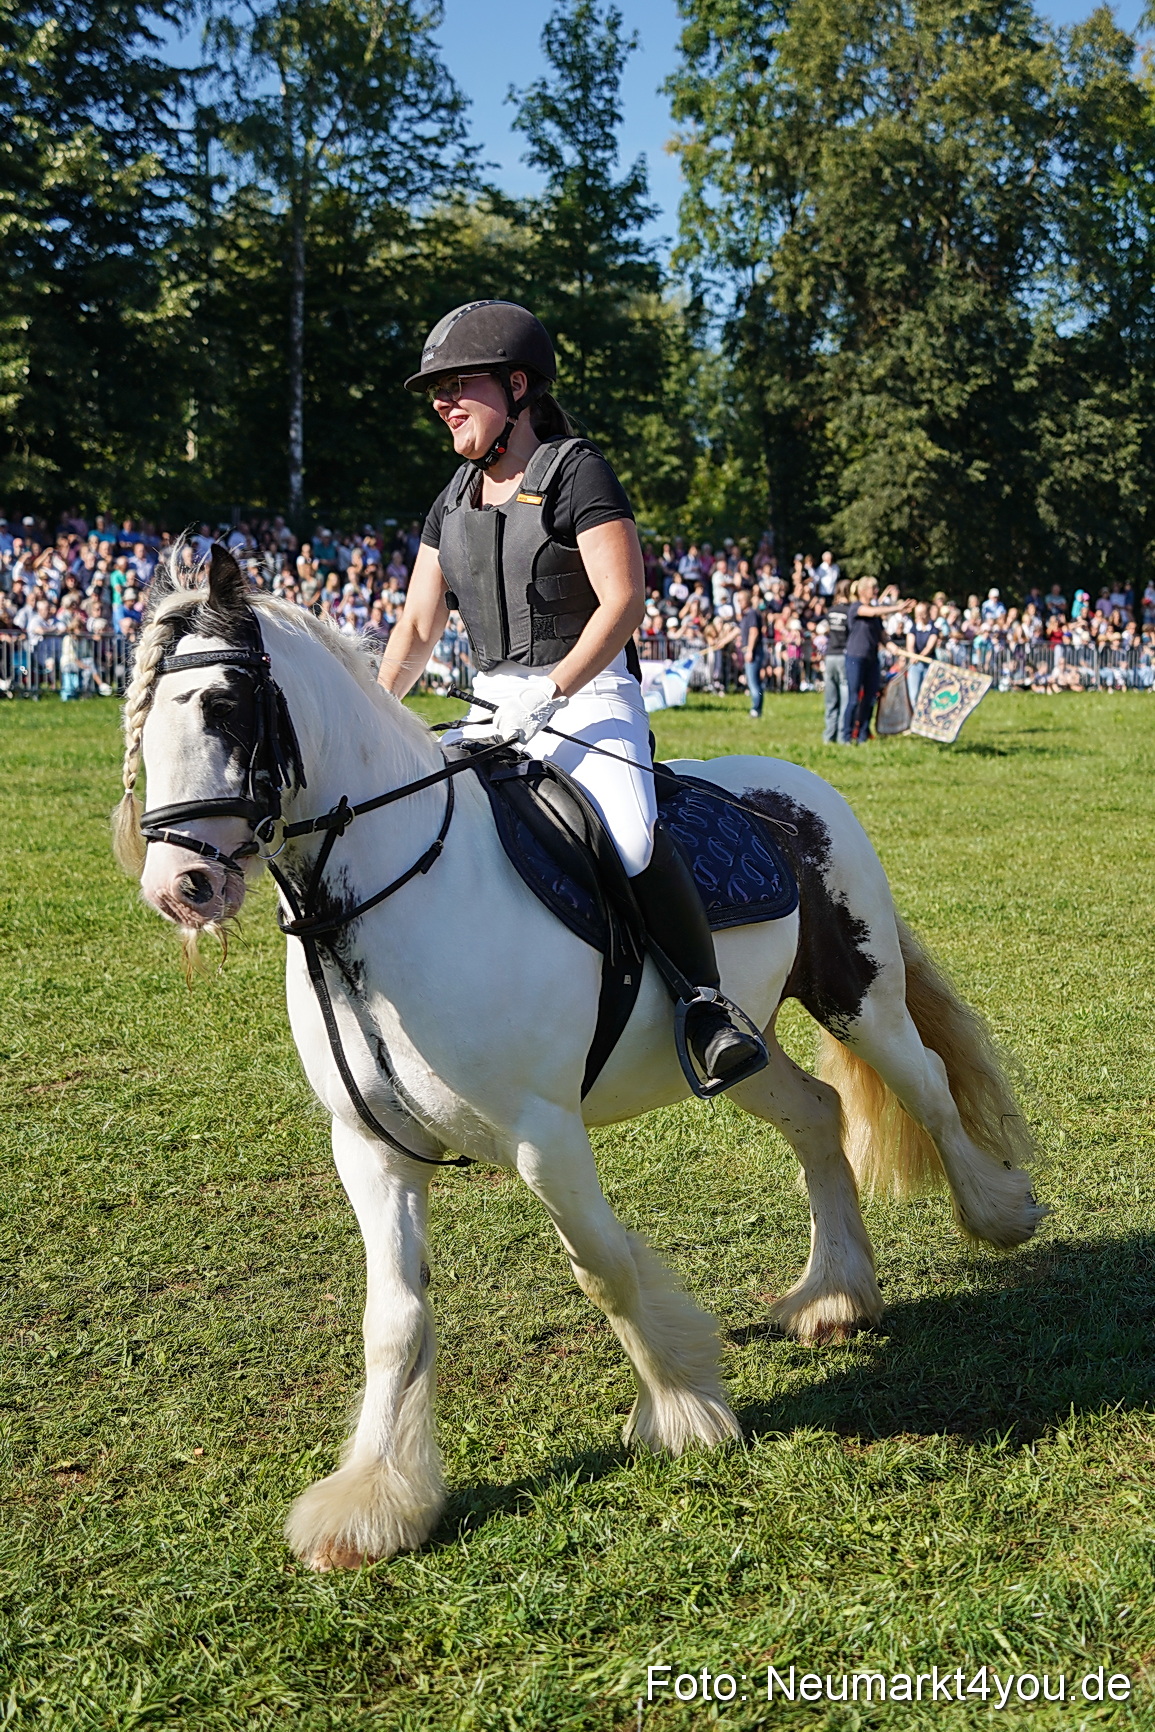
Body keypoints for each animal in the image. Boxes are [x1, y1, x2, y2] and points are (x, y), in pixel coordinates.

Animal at [114, 547, 1043, 1572]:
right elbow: (392, 1319)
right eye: (141, 721)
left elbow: (601, 1266)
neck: (387, 896)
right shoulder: (371, 1148)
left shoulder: (542, 1134)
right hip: (743, 1047)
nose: (179, 886)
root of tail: (790, 785)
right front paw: (375, 1502)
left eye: (224, 705)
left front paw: (682, 1409)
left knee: (929, 1092)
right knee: (817, 1118)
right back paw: (835, 1294)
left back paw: (999, 1213)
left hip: (859, 998)